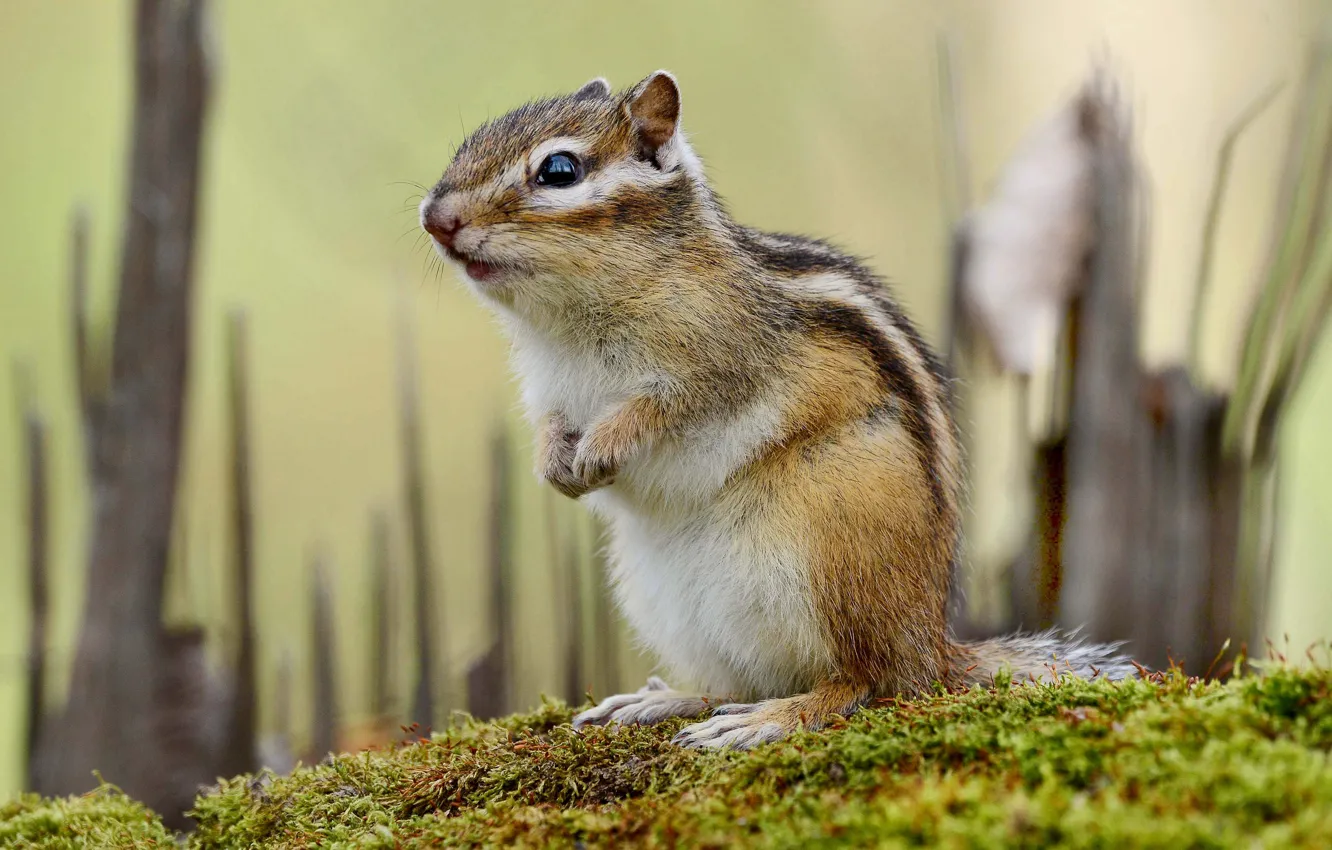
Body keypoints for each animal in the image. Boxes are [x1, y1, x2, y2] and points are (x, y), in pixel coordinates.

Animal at [419, 71, 1135, 750]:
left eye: (559, 171)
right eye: (467, 144)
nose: (434, 216)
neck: (569, 318)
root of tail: (932, 643)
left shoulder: (719, 366)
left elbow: (661, 409)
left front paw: (601, 445)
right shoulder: (550, 392)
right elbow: (549, 427)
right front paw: (553, 465)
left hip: (828, 548)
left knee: (866, 680)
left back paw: (772, 718)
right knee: (745, 679)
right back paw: (668, 701)